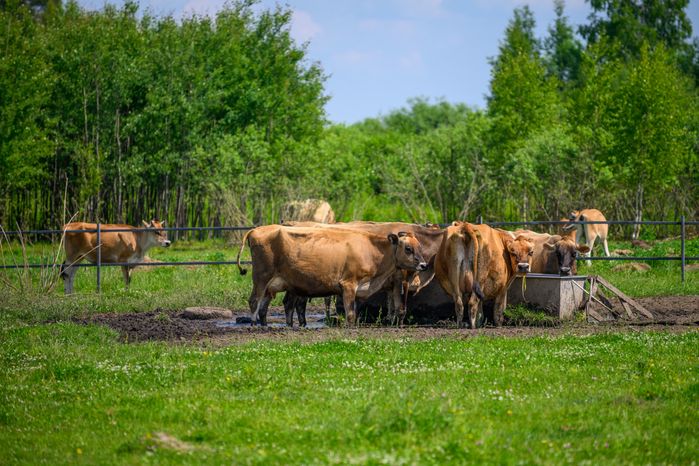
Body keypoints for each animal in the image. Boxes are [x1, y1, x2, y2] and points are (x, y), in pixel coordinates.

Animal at [236, 225, 427, 326]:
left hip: (274, 284)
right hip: (261, 277)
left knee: (269, 305)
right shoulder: (348, 284)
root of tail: (255, 230)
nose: (424, 265)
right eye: (408, 248)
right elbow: (350, 314)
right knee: (254, 301)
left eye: (419, 246)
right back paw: (254, 325)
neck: (371, 249)